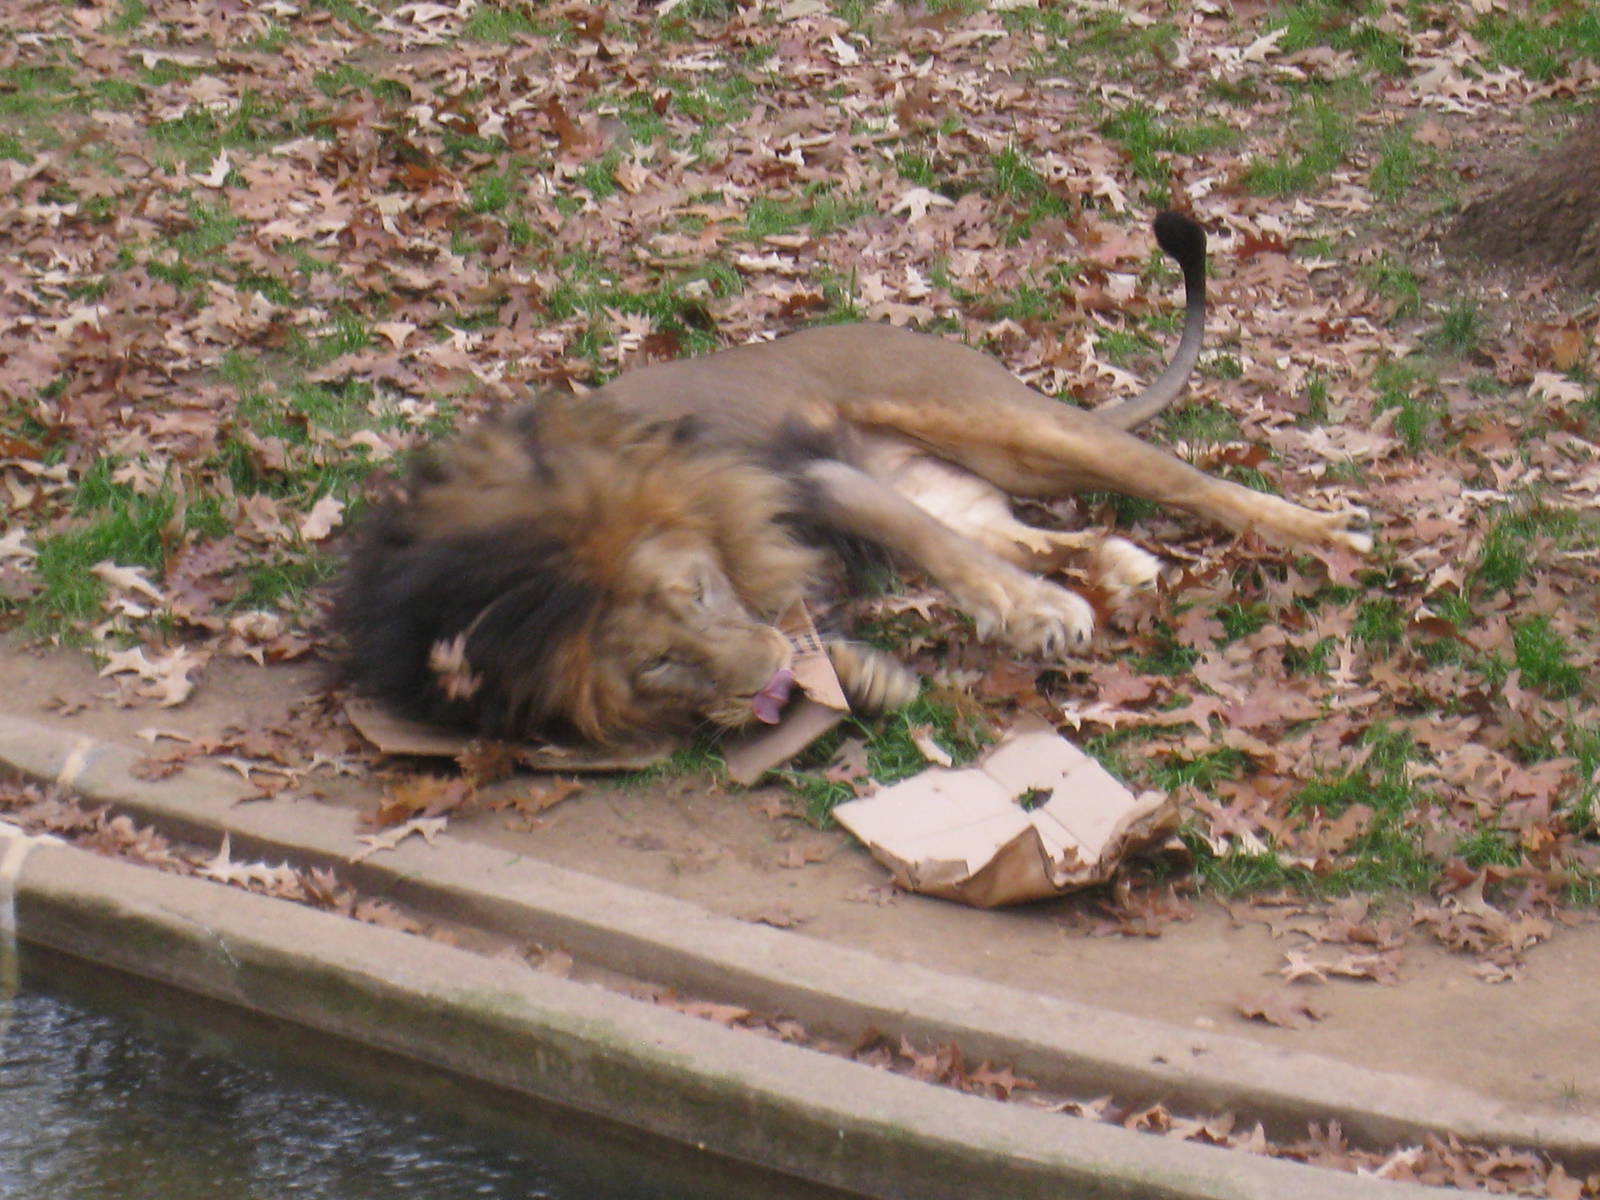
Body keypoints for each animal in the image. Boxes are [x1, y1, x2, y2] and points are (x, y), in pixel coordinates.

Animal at [337, 212, 1370, 745]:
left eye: (697, 593)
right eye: (659, 664)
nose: (759, 671)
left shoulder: (800, 475)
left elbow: (933, 549)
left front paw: (1032, 615)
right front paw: (861, 674)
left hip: (1007, 424)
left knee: (1194, 487)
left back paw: (1332, 534)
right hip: (968, 479)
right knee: (1049, 534)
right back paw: (1121, 567)